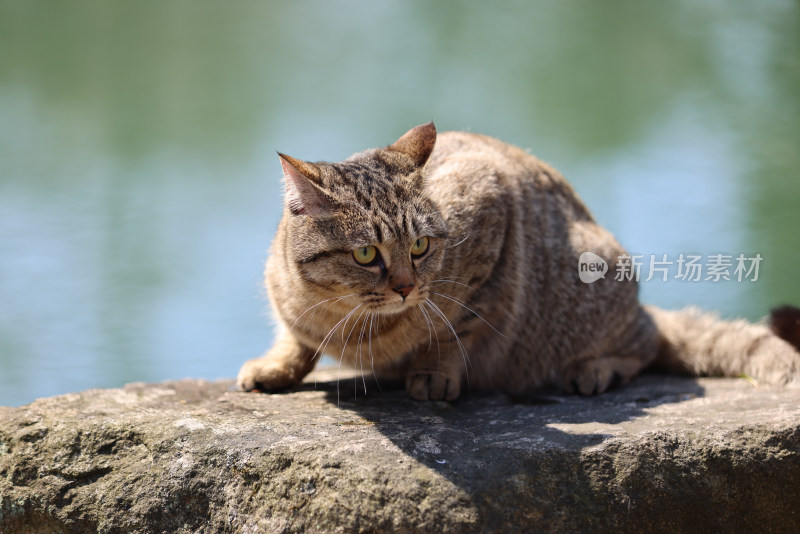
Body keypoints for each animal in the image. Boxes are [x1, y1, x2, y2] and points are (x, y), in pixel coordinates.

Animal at [238, 123, 800, 402]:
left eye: (420, 247)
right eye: (365, 254)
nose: (405, 287)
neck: (346, 320)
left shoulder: (492, 210)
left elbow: (454, 329)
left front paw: (434, 373)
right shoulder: (290, 307)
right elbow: (293, 336)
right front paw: (276, 364)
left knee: (645, 342)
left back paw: (596, 368)